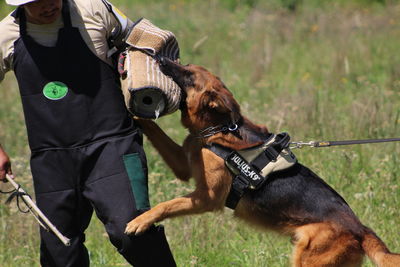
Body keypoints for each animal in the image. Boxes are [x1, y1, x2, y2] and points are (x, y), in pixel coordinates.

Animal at [126, 57, 400, 266]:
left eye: (189, 76)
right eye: (187, 66)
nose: (160, 59)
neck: (220, 127)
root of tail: (361, 229)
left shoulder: (206, 198)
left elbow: (166, 204)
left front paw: (140, 221)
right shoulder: (183, 166)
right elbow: (155, 131)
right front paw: (134, 113)